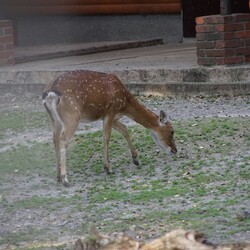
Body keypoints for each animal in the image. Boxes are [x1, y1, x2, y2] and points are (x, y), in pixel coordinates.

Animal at [42, 70, 177, 186]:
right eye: (171, 131)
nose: (175, 150)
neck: (125, 106)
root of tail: (49, 93)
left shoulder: (114, 117)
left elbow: (125, 130)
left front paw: (136, 159)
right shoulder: (111, 111)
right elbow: (106, 136)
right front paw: (108, 167)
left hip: (54, 119)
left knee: (54, 138)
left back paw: (58, 176)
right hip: (72, 115)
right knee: (63, 139)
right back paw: (65, 179)